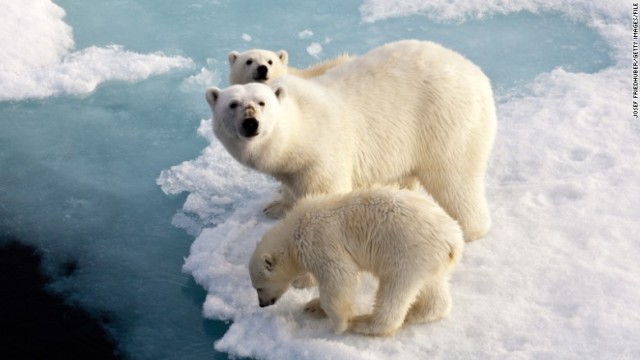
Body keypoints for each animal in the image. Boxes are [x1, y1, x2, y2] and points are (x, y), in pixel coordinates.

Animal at [208, 39, 498, 242]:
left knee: (455, 179)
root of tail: (478, 75)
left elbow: (326, 197)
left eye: (261, 103)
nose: (250, 123)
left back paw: (467, 229)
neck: (300, 127)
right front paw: (276, 207)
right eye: (233, 104)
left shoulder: (324, 154)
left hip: (446, 121)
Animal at [248, 187, 462, 336]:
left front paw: (339, 323)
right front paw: (313, 306)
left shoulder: (319, 242)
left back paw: (365, 323)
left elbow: (339, 278)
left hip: (407, 252)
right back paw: (418, 313)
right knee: (433, 287)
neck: (293, 231)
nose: (262, 304)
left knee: (395, 289)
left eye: (258, 288)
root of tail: (453, 239)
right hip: (429, 258)